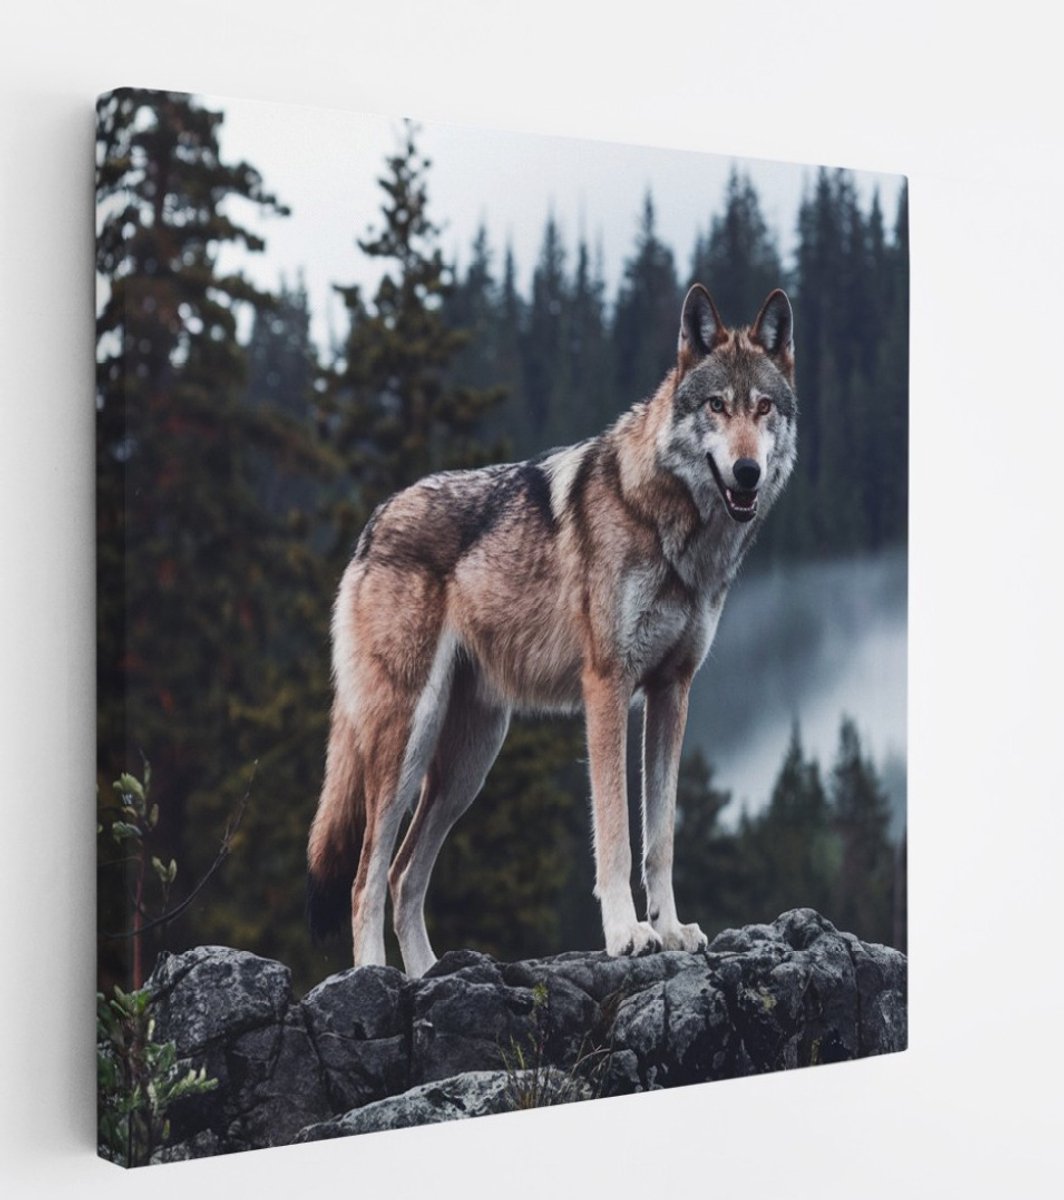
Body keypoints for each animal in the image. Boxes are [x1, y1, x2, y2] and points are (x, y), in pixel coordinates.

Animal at [307, 283, 797, 977]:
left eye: (762, 408)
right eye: (716, 406)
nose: (748, 471)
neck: (673, 528)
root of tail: (373, 523)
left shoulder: (673, 691)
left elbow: (662, 838)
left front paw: (670, 930)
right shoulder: (607, 686)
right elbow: (616, 837)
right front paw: (627, 935)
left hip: (468, 766)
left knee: (405, 876)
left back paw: (429, 976)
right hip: (407, 741)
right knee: (365, 878)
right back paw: (375, 976)